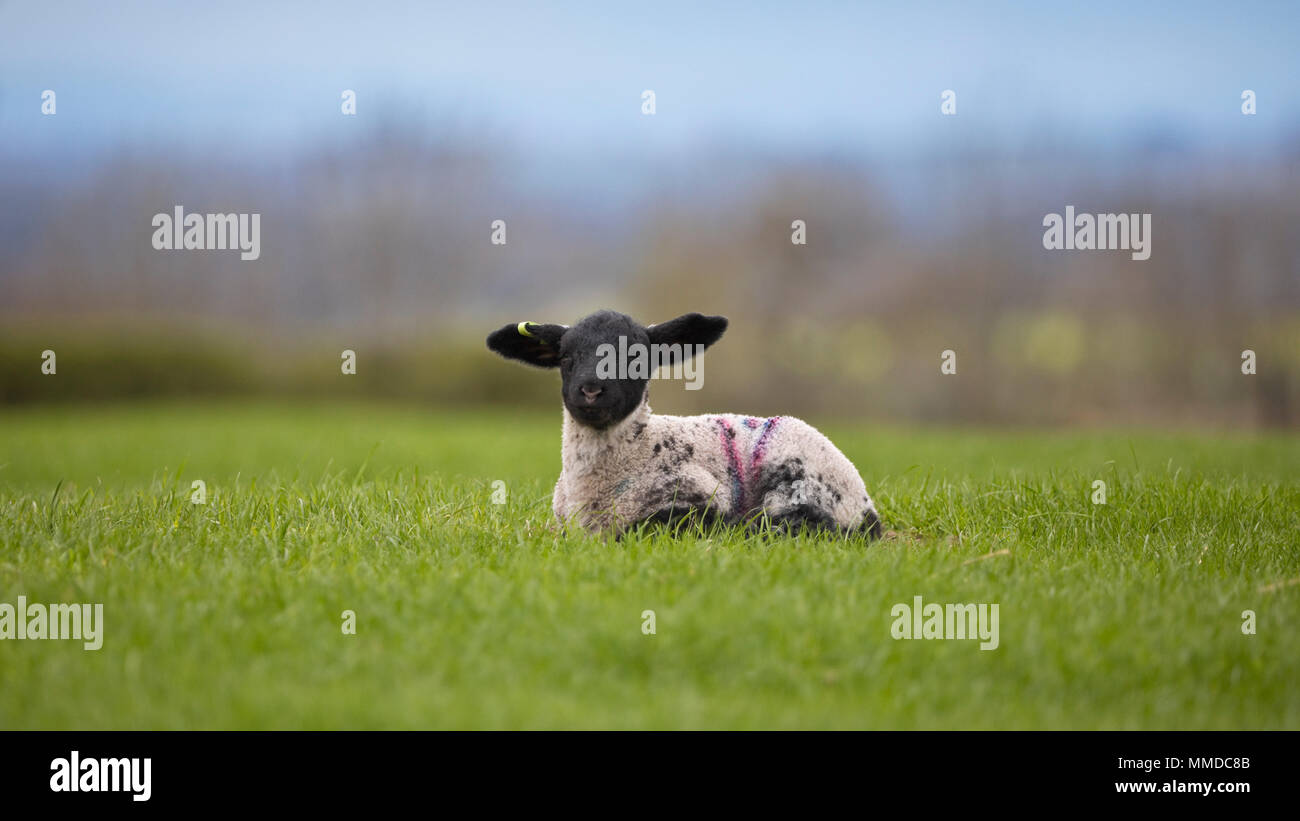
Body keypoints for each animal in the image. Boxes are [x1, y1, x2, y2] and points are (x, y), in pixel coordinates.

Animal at [488, 309, 883, 537]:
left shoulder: (697, 494)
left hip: (802, 482)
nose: (590, 390)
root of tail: (866, 505)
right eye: (566, 357)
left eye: (636, 358)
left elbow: (643, 530)